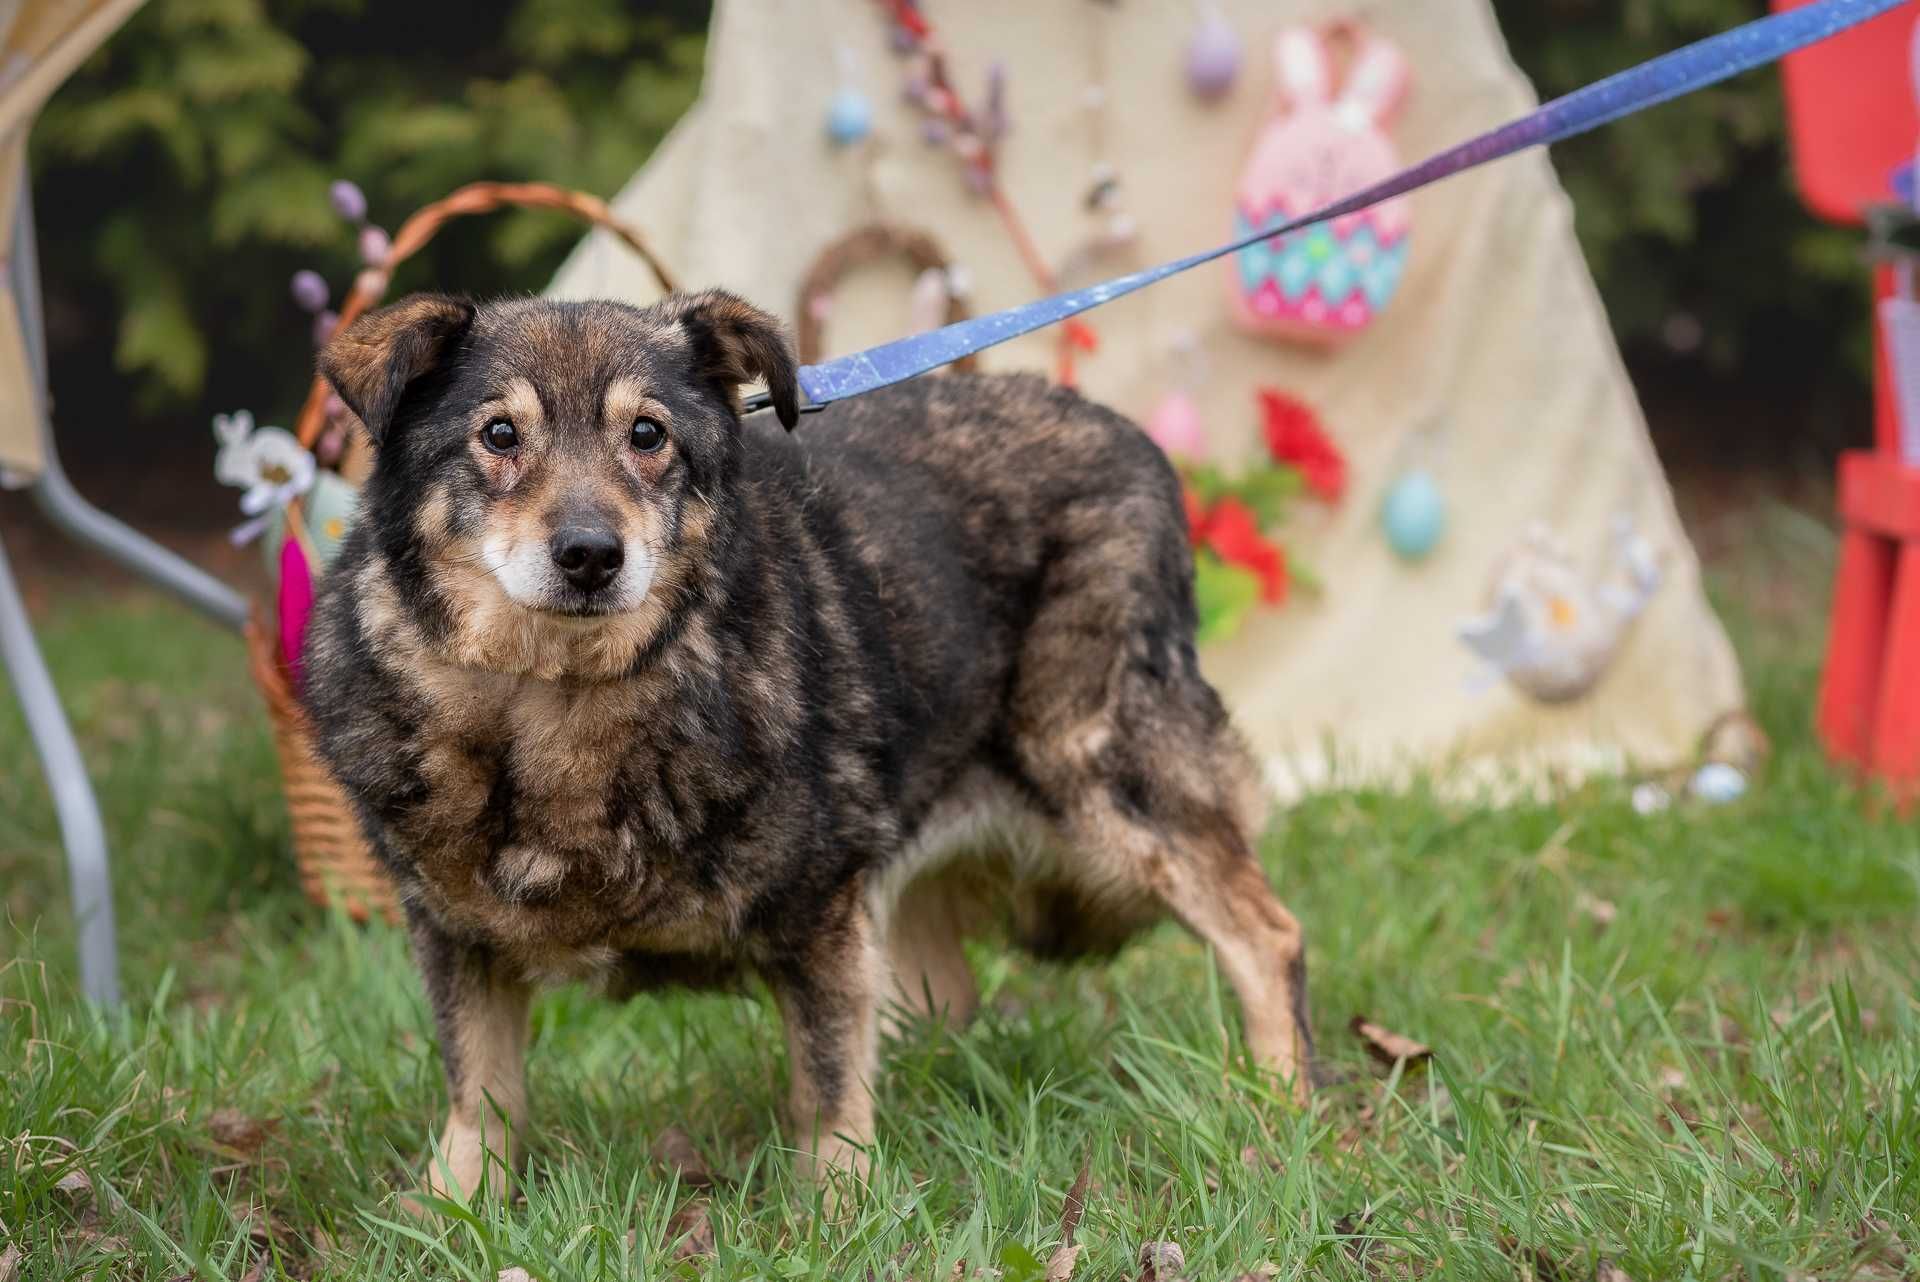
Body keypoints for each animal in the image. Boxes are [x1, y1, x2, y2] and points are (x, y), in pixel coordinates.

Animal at [303, 289, 1320, 1205]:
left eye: (648, 434)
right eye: (500, 435)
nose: (590, 554)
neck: (553, 701)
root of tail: (1133, 437)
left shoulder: (820, 916)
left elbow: (826, 1090)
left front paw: (835, 1215)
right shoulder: (456, 935)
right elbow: (480, 1095)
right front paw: (454, 1214)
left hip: (1104, 775)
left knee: (1265, 933)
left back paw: (1278, 1108)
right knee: (948, 994)